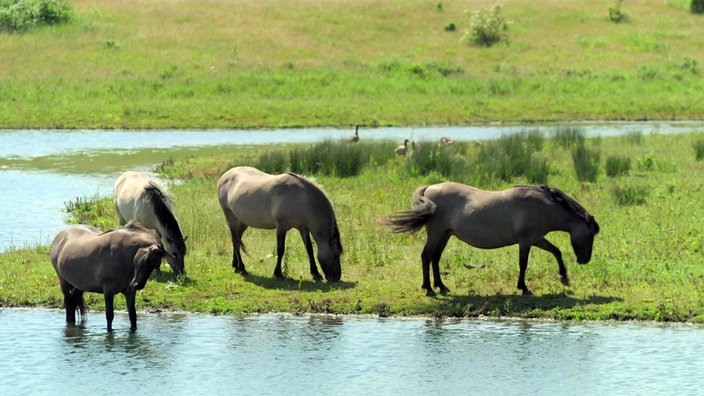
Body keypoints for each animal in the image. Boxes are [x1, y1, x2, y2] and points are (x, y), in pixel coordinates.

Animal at [384, 184, 600, 296]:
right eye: (590, 236)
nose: (585, 260)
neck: (543, 205)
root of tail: (429, 188)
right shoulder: (526, 241)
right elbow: (523, 264)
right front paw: (524, 288)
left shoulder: (537, 239)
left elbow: (556, 251)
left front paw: (564, 278)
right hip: (436, 233)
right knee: (426, 256)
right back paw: (429, 288)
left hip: (445, 234)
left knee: (435, 258)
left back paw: (441, 286)